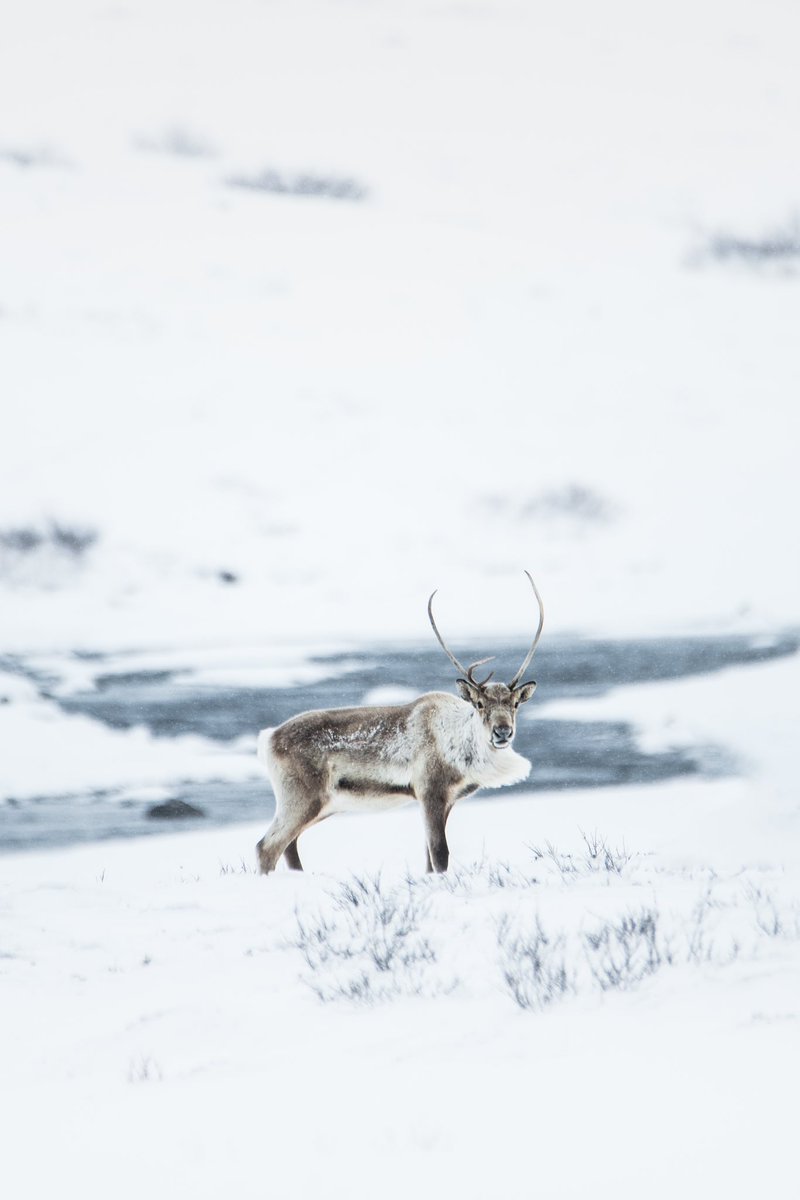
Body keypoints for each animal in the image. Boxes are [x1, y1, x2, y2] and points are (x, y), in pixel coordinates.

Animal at [255, 572, 544, 874]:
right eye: (479, 704)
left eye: (515, 704)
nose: (502, 732)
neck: (459, 744)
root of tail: (268, 738)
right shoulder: (429, 792)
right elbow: (440, 854)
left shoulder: (447, 800)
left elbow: (429, 858)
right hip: (301, 799)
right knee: (267, 846)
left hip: (322, 805)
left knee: (289, 848)